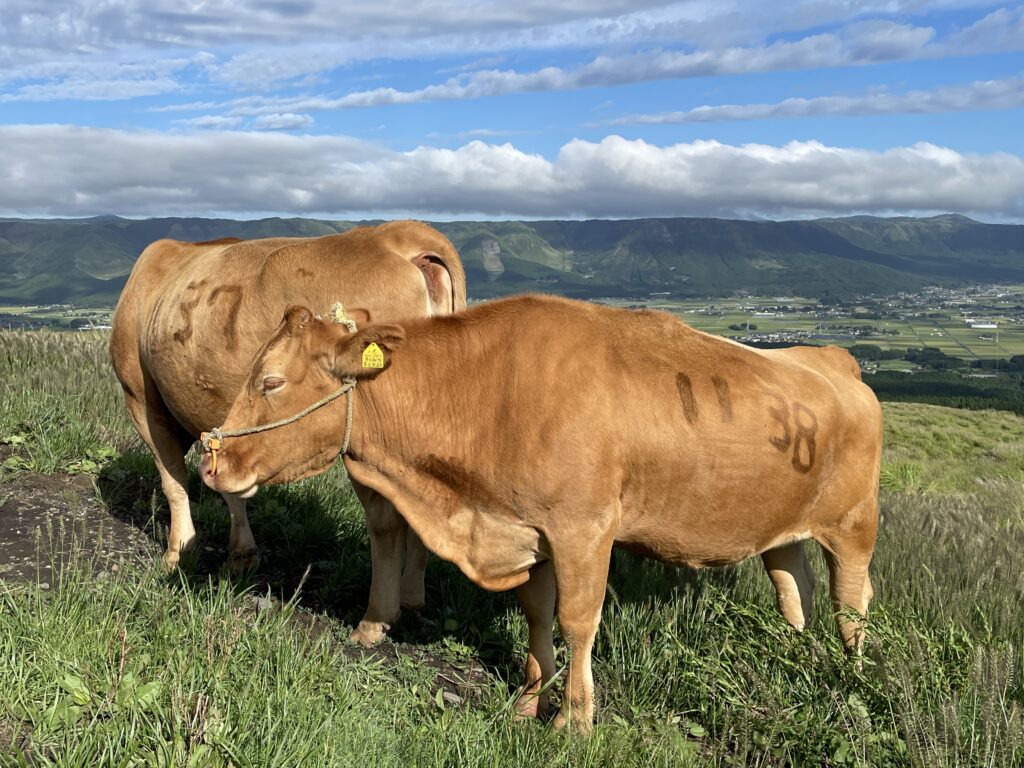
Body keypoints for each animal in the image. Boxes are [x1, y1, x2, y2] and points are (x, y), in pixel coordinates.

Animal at [110, 222, 466, 651]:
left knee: (385, 522)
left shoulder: (140, 398)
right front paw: (240, 556)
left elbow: (173, 480)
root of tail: (397, 235)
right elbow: (228, 477)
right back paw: (412, 597)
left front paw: (180, 552)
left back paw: (374, 620)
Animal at [197, 294, 880, 733]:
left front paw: (574, 721)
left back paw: (850, 679)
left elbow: (577, 621)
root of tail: (833, 358)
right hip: (783, 530)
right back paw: (795, 653)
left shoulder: (584, 529)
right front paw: (530, 698)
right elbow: (535, 612)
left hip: (854, 525)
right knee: (794, 589)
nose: (209, 461)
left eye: (270, 381)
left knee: (851, 603)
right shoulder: (528, 530)